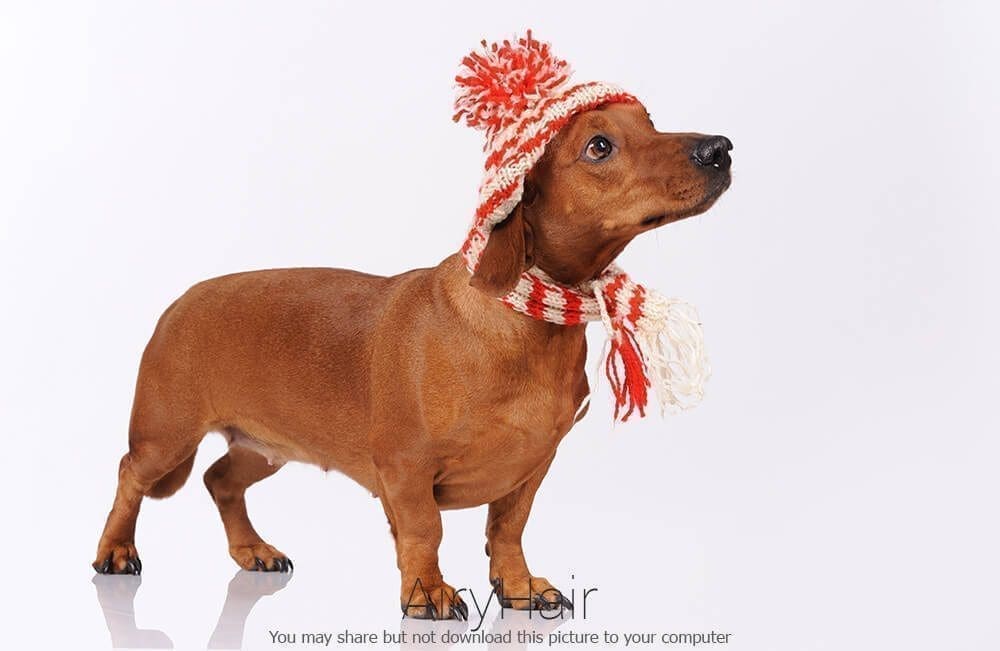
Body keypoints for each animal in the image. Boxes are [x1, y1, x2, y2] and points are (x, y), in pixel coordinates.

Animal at [94, 37, 736, 620]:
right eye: (599, 146)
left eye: (650, 122)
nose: (721, 148)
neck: (527, 320)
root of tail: (180, 300)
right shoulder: (405, 470)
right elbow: (424, 531)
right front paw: (426, 592)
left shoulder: (531, 466)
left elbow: (509, 529)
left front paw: (518, 586)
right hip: (165, 436)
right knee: (130, 476)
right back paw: (115, 551)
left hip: (265, 445)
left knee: (221, 480)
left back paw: (252, 550)